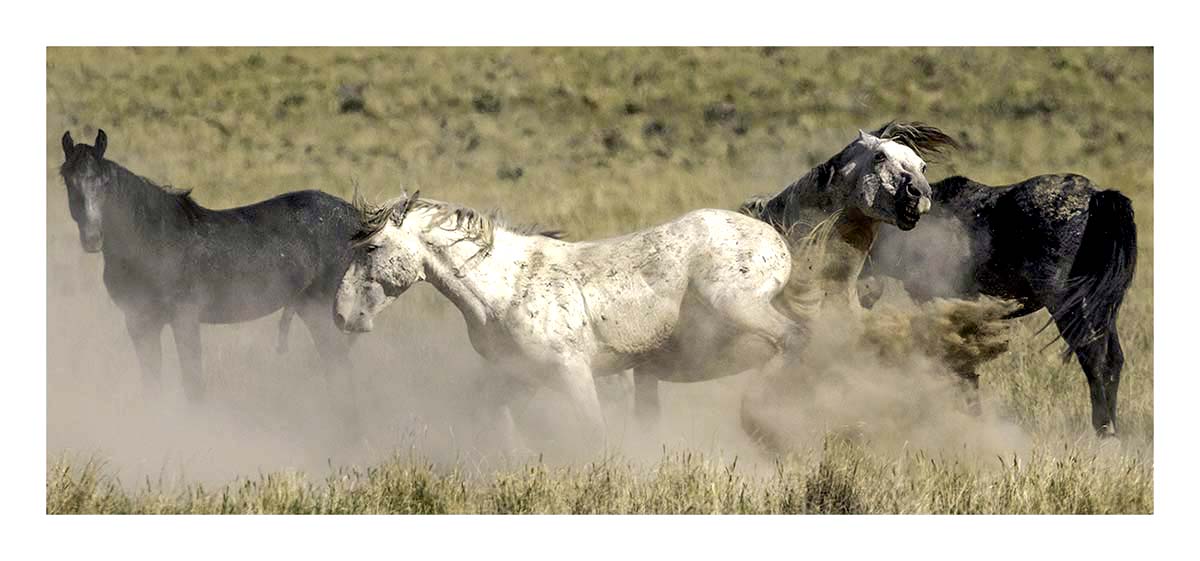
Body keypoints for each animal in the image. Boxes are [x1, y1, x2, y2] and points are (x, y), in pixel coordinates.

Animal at [58, 129, 363, 428]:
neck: (152, 241)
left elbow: (192, 383)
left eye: (104, 182)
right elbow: (152, 382)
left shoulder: (184, 317)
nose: (92, 239)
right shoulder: (139, 322)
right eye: (68, 180)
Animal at [333, 191, 806, 452]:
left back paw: (766, 426)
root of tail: (773, 236)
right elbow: (493, 420)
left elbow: (592, 432)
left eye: (372, 247)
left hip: (734, 305)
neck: (507, 288)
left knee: (792, 340)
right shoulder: (518, 376)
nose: (341, 315)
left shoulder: (571, 371)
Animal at [860, 173, 1138, 436]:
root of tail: (1096, 196)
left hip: (1068, 306)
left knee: (1093, 358)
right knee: (1113, 360)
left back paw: (1103, 429)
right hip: (1100, 308)